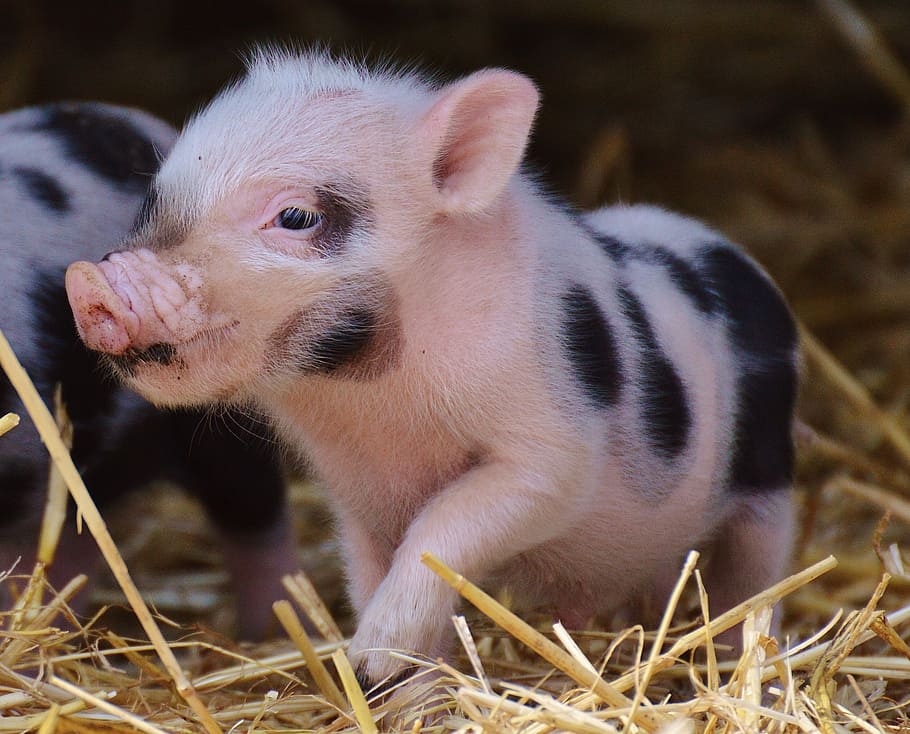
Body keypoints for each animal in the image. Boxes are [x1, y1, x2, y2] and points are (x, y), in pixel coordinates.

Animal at [65, 50, 798, 688]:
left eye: (296, 216)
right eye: (153, 202)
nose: (91, 286)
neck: (376, 405)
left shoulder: (549, 449)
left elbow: (445, 528)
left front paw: (371, 653)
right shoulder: (352, 492)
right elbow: (372, 572)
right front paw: (391, 684)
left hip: (768, 477)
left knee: (752, 581)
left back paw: (744, 671)